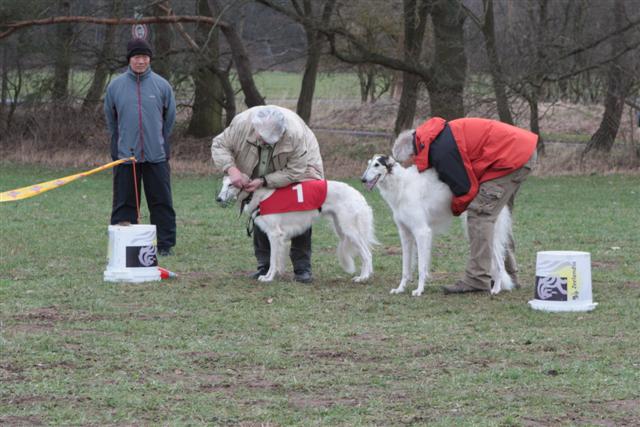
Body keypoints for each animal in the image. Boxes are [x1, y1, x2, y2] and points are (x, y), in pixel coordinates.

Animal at [216, 176, 377, 283]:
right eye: (223, 184)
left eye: (231, 184)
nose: (218, 199)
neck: (258, 195)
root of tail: (359, 195)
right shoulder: (278, 237)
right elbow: (276, 260)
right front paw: (271, 275)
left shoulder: (275, 234)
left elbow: (272, 260)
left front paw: (268, 278)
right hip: (342, 229)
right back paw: (367, 275)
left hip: (350, 231)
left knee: (367, 254)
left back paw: (363, 277)